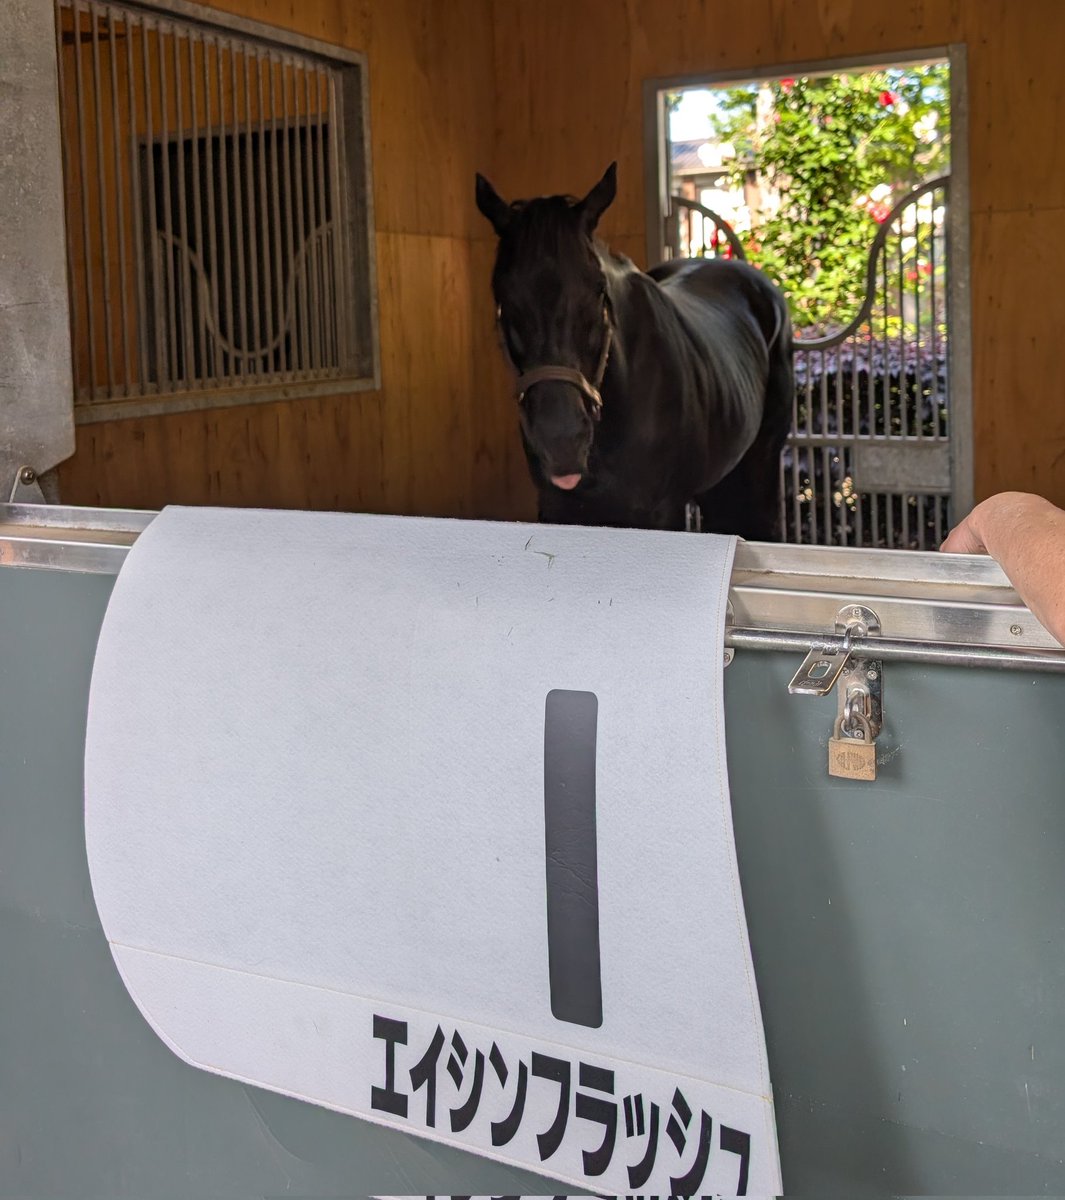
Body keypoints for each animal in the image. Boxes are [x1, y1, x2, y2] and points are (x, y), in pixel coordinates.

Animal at [475, 162, 794, 539]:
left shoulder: (659, 515)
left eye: (598, 290)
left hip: (763, 458)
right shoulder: (558, 510)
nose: (561, 441)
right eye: (502, 298)